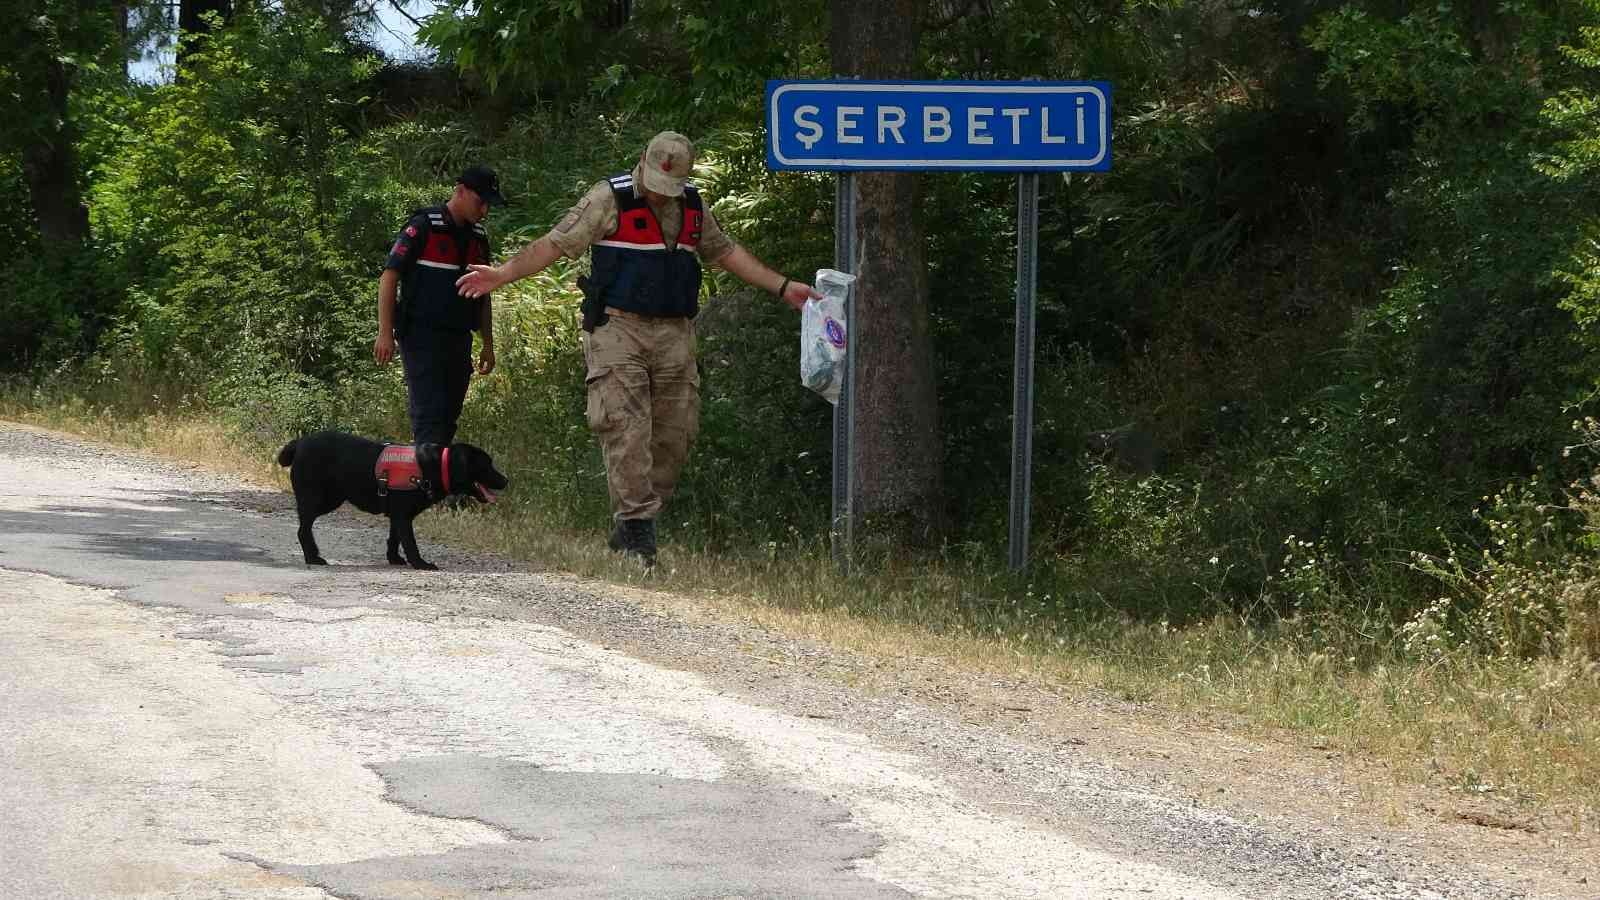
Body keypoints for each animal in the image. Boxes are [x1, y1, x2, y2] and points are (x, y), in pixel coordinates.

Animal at [275, 429, 508, 566]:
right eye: (486, 465)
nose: (506, 480)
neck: (436, 465)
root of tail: (300, 442)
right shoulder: (403, 517)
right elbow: (410, 543)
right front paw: (420, 564)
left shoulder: (399, 515)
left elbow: (394, 539)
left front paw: (394, 559)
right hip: (318, 499)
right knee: (303, 529)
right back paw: (312, 557)